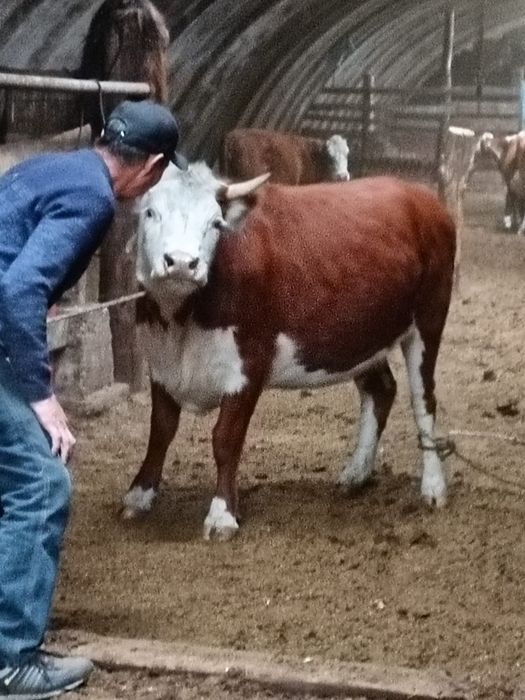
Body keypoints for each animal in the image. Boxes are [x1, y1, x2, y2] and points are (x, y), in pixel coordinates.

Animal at [122, 163, 456, 541]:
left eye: (215, 223)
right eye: (150, 213)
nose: (181, 263)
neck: (181, 318)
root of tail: (421, 197)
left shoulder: (249, 364)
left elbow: (226, 438)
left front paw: (222, 515)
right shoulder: (161, 363)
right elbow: (160, 431)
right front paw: (139, 495)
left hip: (429, 318)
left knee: (423, 401)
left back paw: (433, 487)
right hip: (359, 334)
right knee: (381, 390)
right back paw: (356, 473)